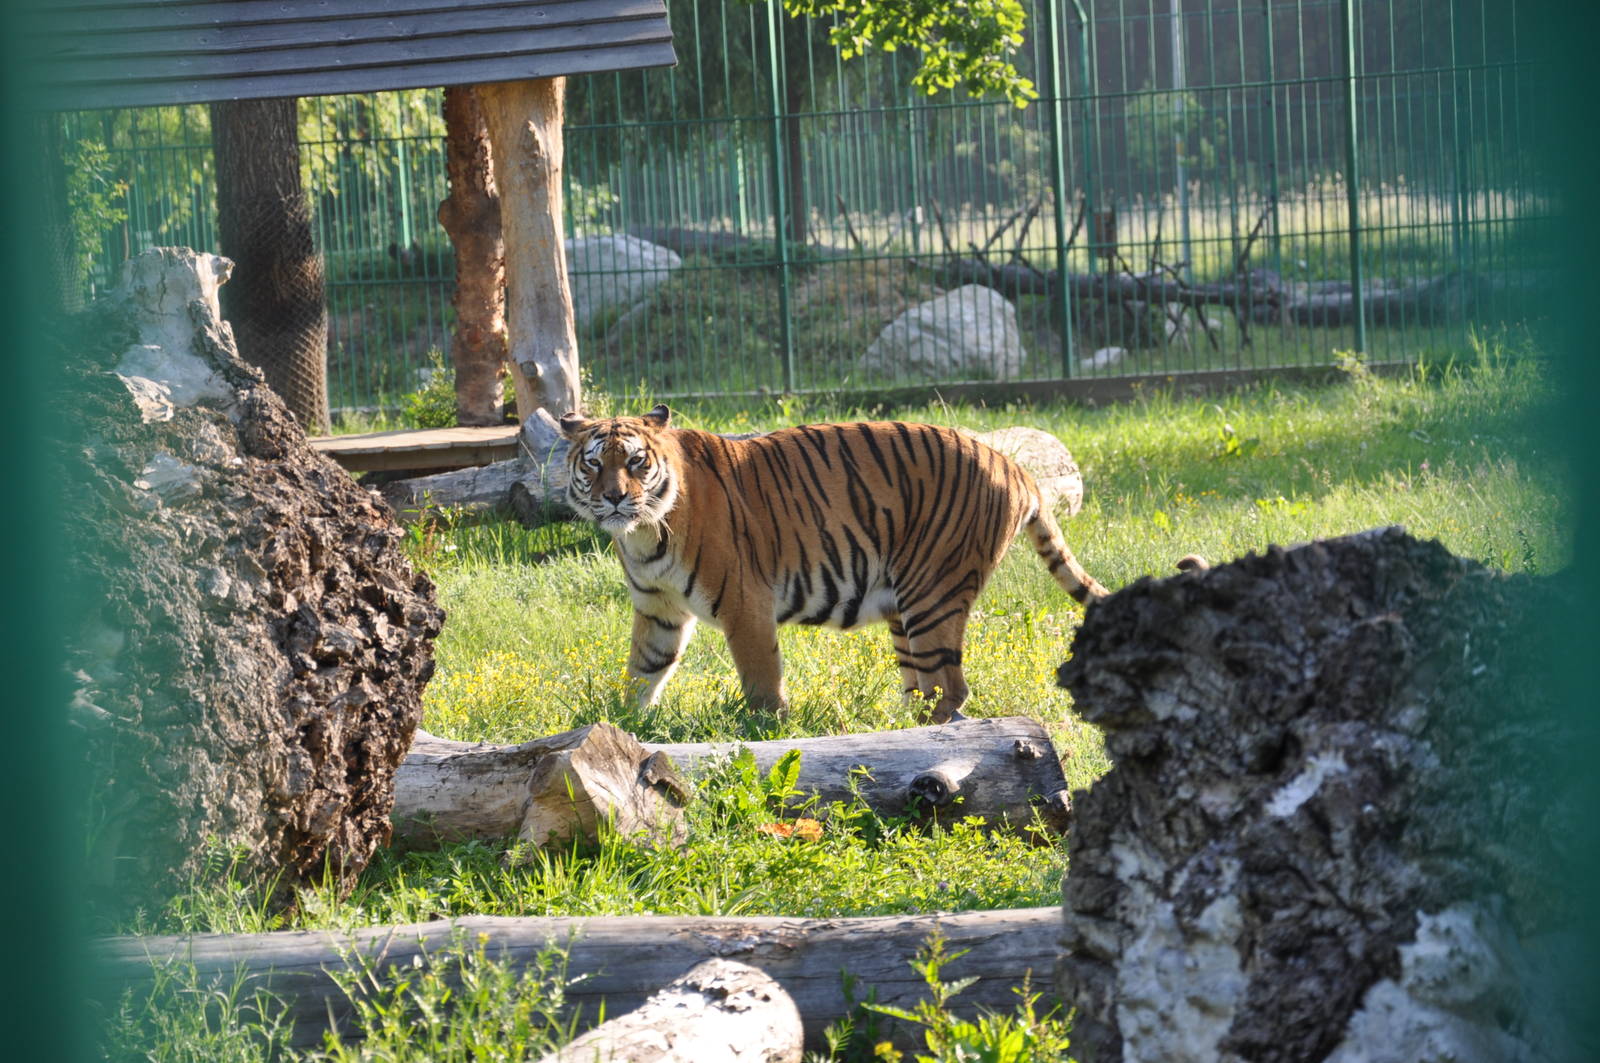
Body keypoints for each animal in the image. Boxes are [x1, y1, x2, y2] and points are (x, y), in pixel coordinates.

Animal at [558, 404, 1109, 724]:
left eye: (636, 462)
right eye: (594, 463)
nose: (613, 498)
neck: (644, 533)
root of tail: (1014, 465)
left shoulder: (745, 604)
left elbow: (761, 683)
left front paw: (767, 731)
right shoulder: (659, 611)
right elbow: (643, 671)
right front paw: (622, 727)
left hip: (933, 591)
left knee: (949, 689)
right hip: (905, 609)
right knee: (922, 689)